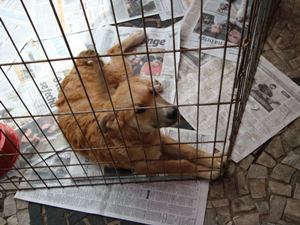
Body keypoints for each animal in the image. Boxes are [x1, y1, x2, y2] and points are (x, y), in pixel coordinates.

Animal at [56, 31, 225, 179]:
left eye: (153, 94)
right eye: (140, 111)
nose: (173, 112)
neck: (137, 136)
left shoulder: (161, 139)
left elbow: (189, 149)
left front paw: (212, 160)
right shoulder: (147, 166)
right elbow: (181, 164)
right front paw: (207, 171)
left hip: (119, 78)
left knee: (116, 54)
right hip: (117, 75)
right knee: (113, 52)